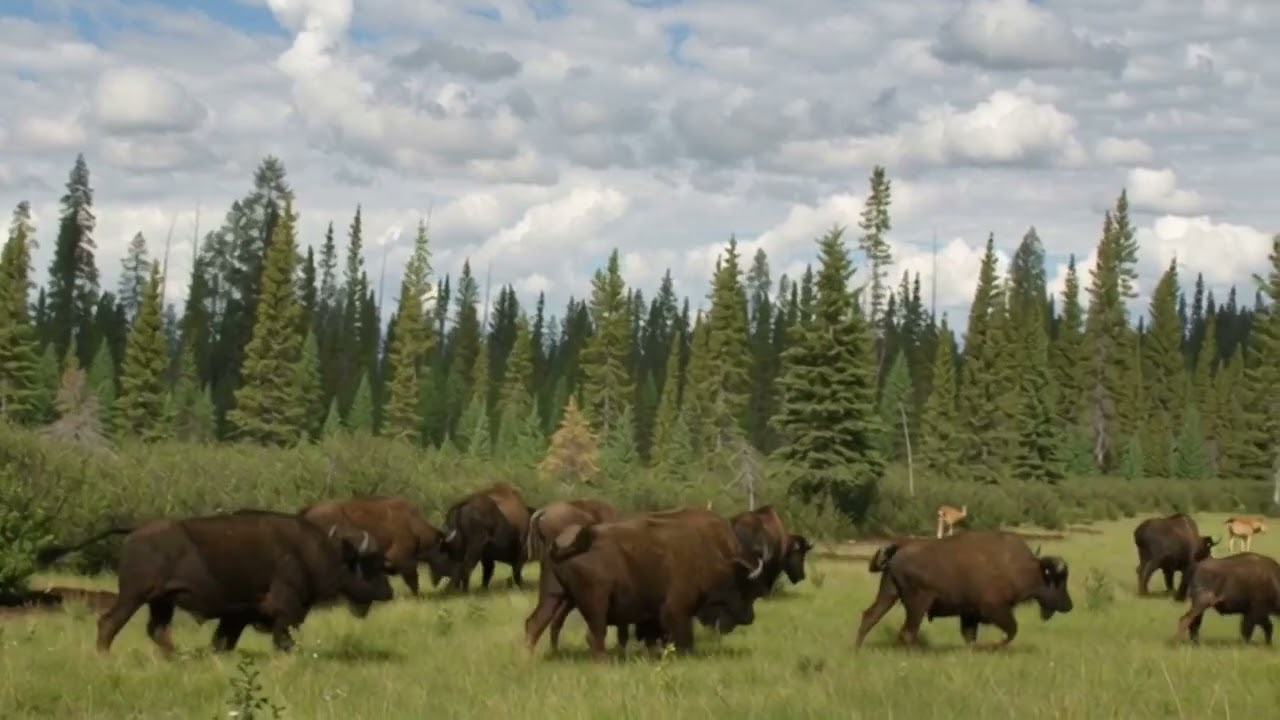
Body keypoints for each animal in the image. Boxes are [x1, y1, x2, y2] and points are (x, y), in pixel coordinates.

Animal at [34, 510, 394, 656]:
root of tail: (135, 530)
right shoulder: (283, 609)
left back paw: (177, 655)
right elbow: (283, 638)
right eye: (370, 564)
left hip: (161, 601)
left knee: (157, 629)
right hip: (134, 596)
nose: (389, 592)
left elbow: (224, 640)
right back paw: (105, 655)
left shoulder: (237, 615)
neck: (313, 551)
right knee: (109, 621)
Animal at [523, 506, 769, 661]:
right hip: (595, 601)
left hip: (554, 594)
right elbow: (682, 637)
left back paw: (528, 659)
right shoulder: (676, 609)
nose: (750, 617)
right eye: (744, 588)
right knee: (593, 635)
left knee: (536, 623)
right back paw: (605, 662)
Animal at [855, 530, 1073, 649]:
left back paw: (858, 649)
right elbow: (1011, 631)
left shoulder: (969, 615)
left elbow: (971, 637)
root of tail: (900, 548)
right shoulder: (994, 609)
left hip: (888, 593)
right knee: (907, 632)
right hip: (918, 604)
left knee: (870, 616)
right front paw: (991, 646)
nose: (1069, 606)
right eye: (1058, 580)